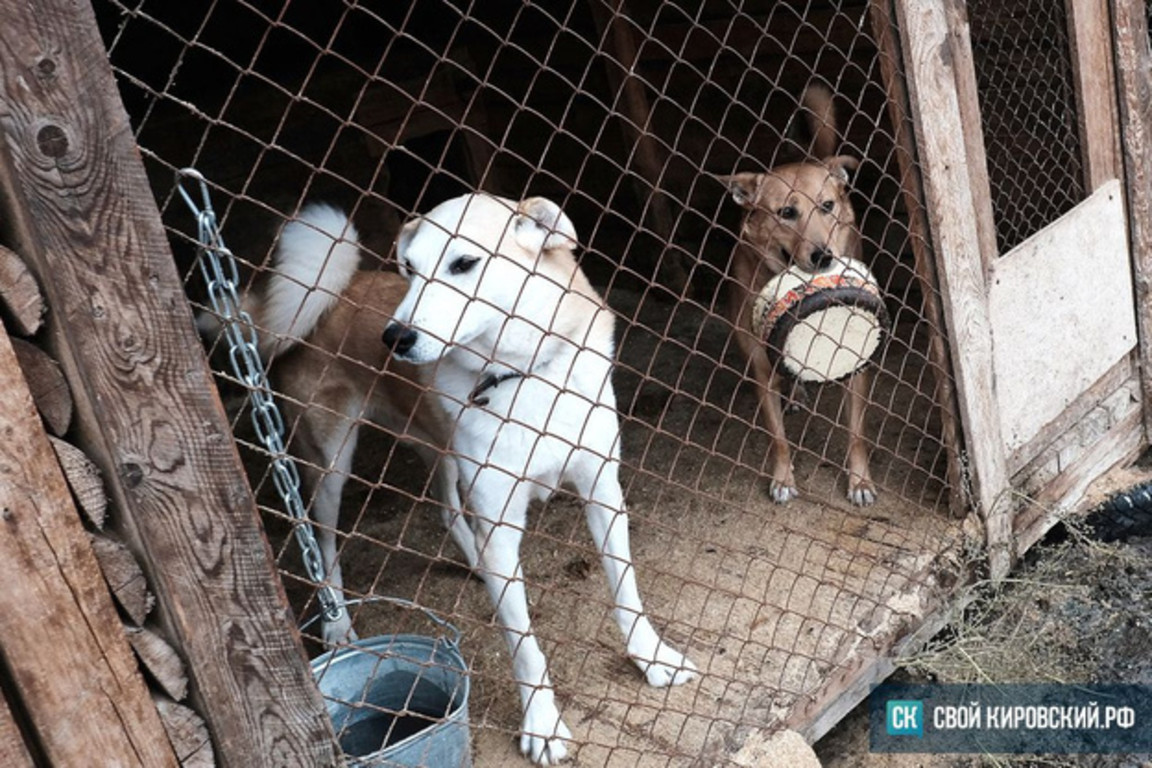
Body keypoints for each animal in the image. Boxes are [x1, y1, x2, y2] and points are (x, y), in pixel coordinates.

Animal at [238, 196, 695, 764]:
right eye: (411, 271)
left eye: (463, 264)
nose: (394, 337)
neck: (521, 373)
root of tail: (336, 287)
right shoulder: (500, 517)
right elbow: (524, 644)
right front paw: (542, 725)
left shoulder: (602, 490)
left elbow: (625, 587)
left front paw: (652, 656)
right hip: (331, 462)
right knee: (322, 539)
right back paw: (338, 621)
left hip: (443, 451)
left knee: (448, 510)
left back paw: (477, 564)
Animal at [723, 84, 875, 506]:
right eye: (786, 212)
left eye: (827, 206)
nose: (823, 256)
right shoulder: (761, 370)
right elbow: (777, 438)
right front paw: (783, 478)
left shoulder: (858, 367)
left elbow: (857, 433)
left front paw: (860, 482)